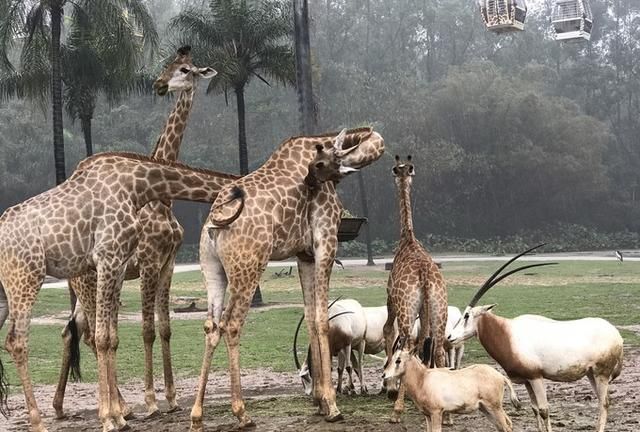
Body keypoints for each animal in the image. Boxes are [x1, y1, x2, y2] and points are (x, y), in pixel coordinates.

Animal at [188, 126, 382, 430]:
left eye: (319, 163)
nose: (309, 180)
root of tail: (215, 222)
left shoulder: (304, 255)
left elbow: (310, 318)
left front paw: (319, 402)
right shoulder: (326, 242)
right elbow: (321, 320)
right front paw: (332, 406)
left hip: (212, 269)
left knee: (211, 325)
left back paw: (196, 415)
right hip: (249, 267)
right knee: (231, 324)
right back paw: (242, 413)